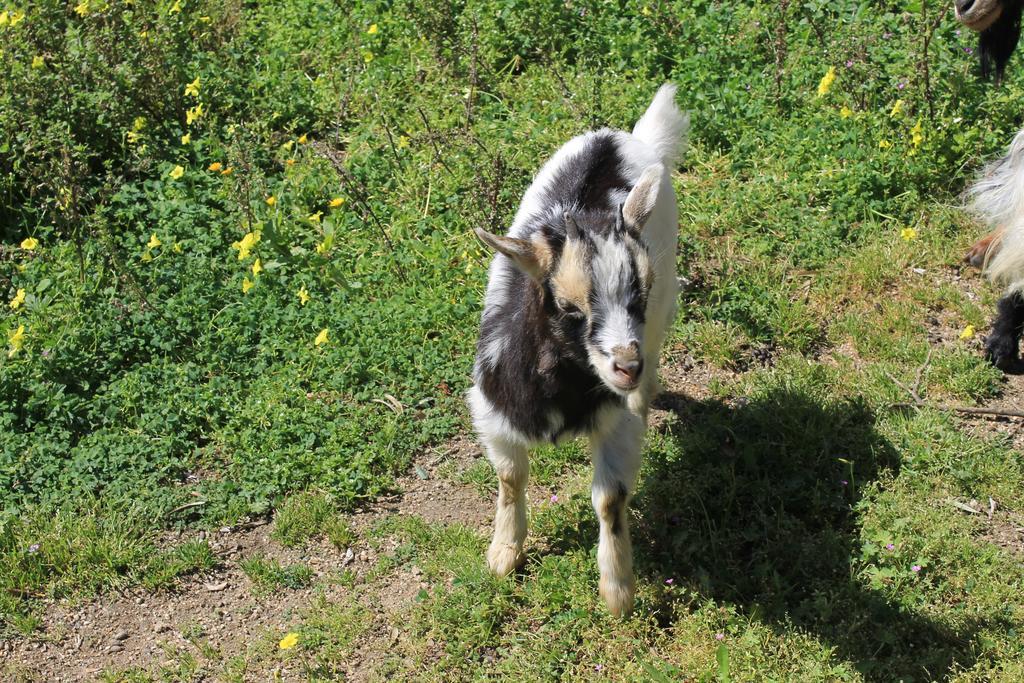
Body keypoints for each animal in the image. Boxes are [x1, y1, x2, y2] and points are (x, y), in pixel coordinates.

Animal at [468, 82, 688, 618]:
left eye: (638, 296)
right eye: (569, 309)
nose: (627, 366)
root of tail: (624, 137)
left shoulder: (616, 422)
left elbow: (610, 499)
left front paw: (618, 591)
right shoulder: (491, 410)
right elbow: (510, 477)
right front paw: (503, 555)